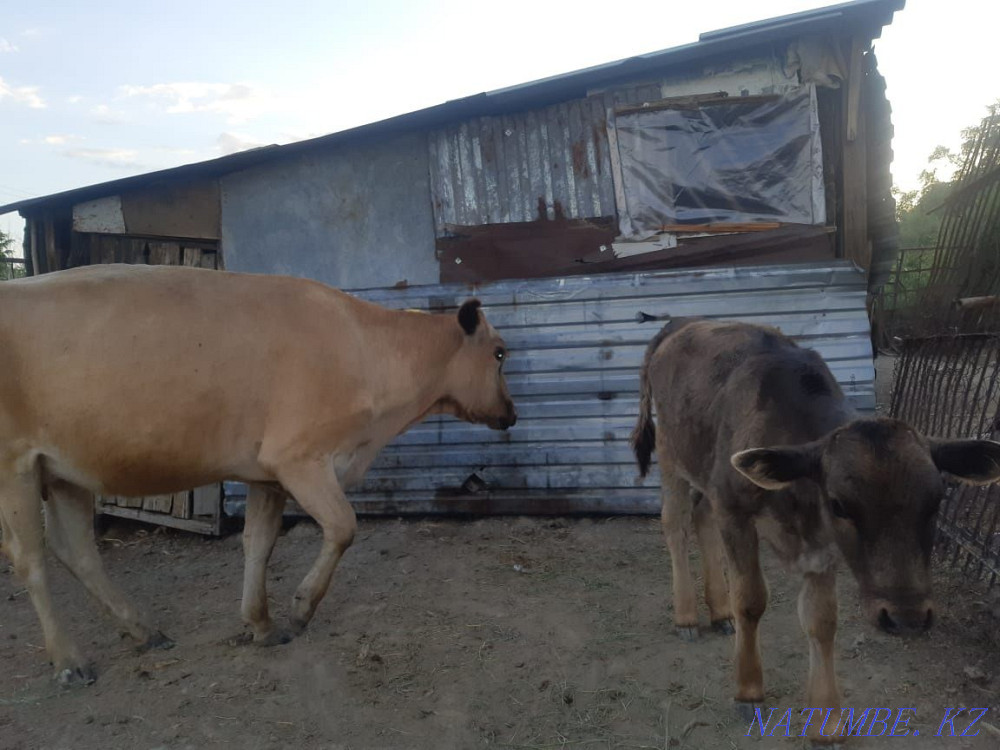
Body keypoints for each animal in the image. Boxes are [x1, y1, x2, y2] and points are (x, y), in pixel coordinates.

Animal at [0, 264, 516, 685]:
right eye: (499, 353)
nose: (511, 414)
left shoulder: (266, 473)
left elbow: (259, 544)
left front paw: (261, 624)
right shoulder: (300, 457)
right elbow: (343, 527)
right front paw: (302, 609)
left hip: (65, 469)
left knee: (76, 549)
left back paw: (143, 630)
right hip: (14, 467)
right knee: (30, 558)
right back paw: (69, 661)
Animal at [631, 318, 1000, 743]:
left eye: (937, 500)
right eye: (839, 504)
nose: (906, 618)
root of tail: (677, 324)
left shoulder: (818, 544)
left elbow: (822, 621)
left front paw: (827, 722)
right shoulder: (735, 510)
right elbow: (751, 601)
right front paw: (748, 690)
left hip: (705, 472)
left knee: (702, 517)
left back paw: (718, 611)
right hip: (671, 455)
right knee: (675, 526)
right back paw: (687, 615)